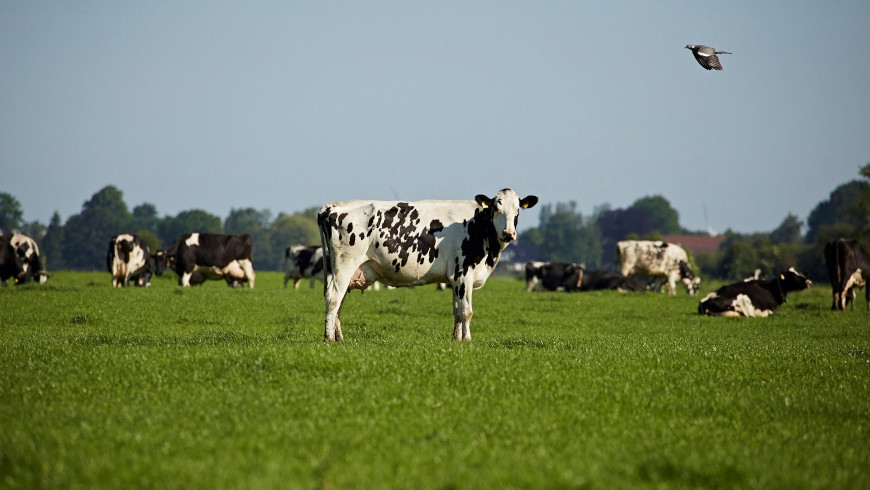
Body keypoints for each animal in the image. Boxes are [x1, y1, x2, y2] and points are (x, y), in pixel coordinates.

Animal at [318, 188, 540, 340]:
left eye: (517, 210)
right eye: (496, 207)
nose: (509, 233)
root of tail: (334, 206)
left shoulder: (455, 278)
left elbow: (457, 311)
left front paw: (457, 339)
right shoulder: (464, 273)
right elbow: (466, 311)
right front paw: (468, 339)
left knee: (339, 301)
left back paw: (338, 337)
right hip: (344, 264)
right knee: (333, 298)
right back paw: (328, 338)